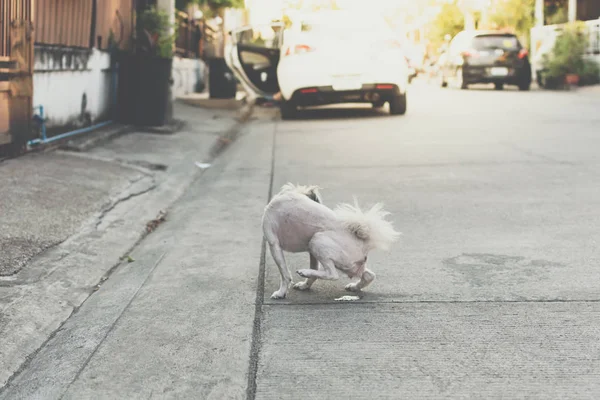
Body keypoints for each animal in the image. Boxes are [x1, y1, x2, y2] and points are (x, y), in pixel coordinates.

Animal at [262, 183, 398, 298]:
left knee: (332, 274)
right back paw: (354, 287)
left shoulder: (274, 244)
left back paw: (304, 272)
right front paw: (304, 285)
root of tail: (363, 244)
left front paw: (281, 293)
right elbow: (313, 267)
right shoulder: (311, 252)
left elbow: (284, 274)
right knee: (369, 276)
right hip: (340, 260)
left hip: (317, 240)